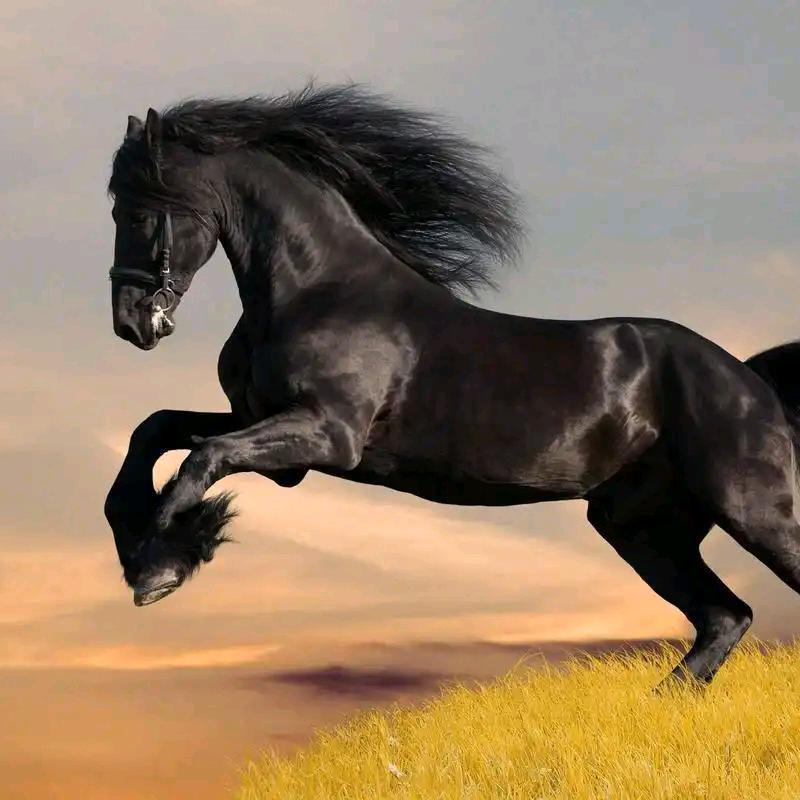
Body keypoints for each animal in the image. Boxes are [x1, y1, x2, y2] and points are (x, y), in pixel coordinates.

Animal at [105, 82, 800, 686]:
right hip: (639, 526)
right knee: (724, 617)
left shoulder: (328, 436)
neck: (319, 290)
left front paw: (157, 566)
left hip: (753, 508)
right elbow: (157, 431)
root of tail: (749, 379)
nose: (131, 322)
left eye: (139, 210)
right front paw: (147, 545)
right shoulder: (272, 434)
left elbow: (201, 457)